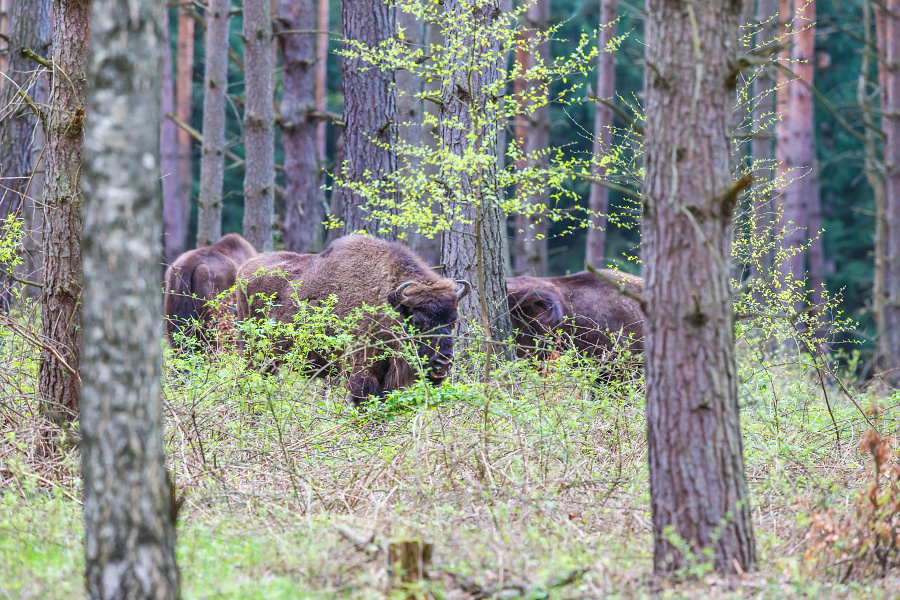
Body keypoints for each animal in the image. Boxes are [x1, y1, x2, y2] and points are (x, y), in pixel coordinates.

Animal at [232, 234, 472, 404]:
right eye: (418, 322)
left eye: (453, 322)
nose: (442, 363)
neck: (387, 302)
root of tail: (243, 269)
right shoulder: (361, 369)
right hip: (255, 352)